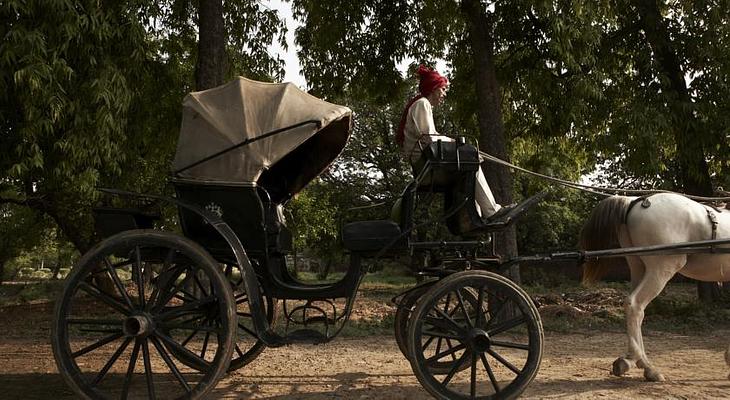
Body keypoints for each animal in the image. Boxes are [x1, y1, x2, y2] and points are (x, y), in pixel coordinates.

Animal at [580, 193, 728, 382]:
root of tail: (634, 201)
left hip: (638, 266)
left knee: (635, 309)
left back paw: (630, 360)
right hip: (662, 268)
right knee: (635, 304)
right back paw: (646, 366)